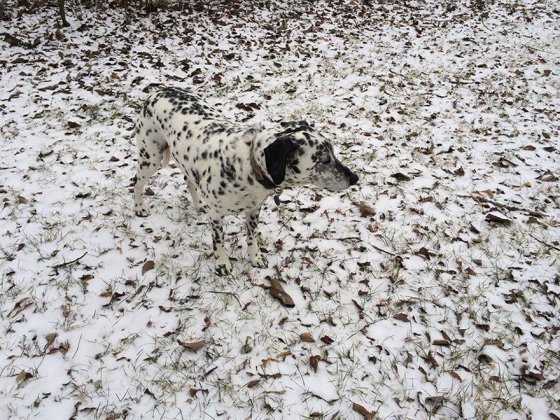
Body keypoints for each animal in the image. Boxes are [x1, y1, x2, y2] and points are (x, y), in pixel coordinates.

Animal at [133, 87, 356, 274]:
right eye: (324, 159)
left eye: (333, 152)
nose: (355, 178)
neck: (247, 165)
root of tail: (157, 91)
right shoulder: (216, 216)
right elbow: (219, 241)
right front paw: (222, 264)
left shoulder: (253, 210)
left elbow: (251, 236)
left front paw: (255, 258)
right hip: (150, 157)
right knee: (137, 182)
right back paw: (139, 207)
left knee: (189, 180)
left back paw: (198, 203)